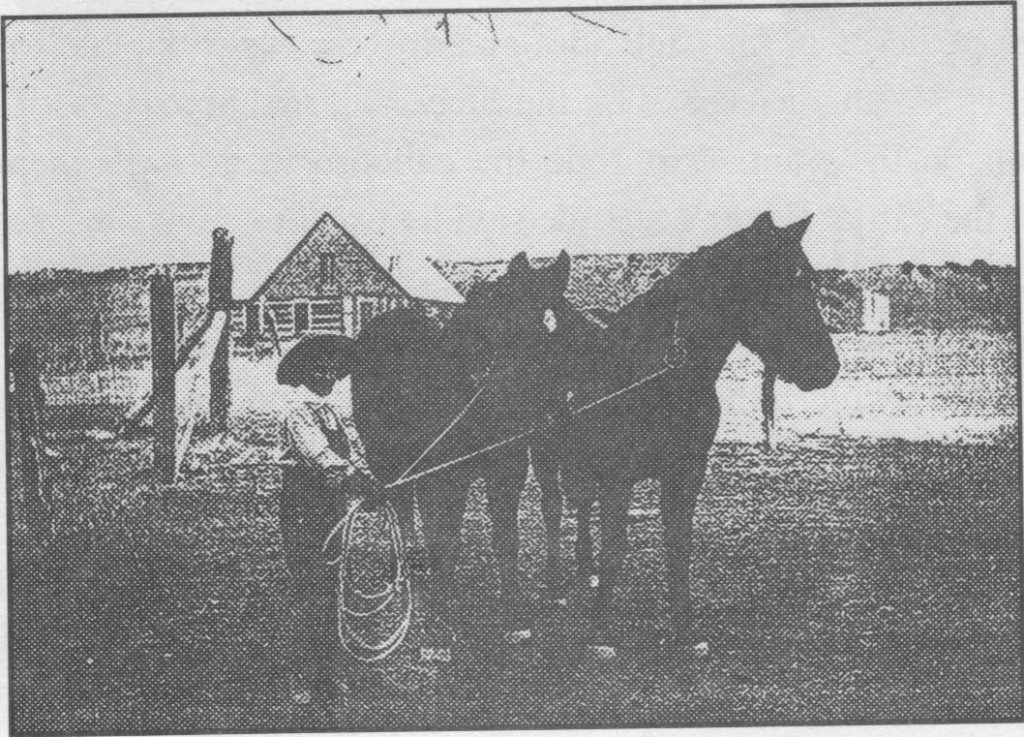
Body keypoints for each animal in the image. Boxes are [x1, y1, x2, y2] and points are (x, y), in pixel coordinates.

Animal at [350, 250, 577, 646]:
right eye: (513, 327)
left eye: (554, 326)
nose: (554, 412)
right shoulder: (444, 474)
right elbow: (446, 536)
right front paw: (440, 609)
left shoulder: (506, 468)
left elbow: (505, 538)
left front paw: (513, 614)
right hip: (384, 452)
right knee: (398, 501)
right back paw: (402, 566)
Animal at [528, 209, 839, 655]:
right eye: (776, 281)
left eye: (808, 278)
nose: (826, 368)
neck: (660, 370)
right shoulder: (619, 477)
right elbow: (615, 548)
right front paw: (601, 630)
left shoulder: (687, 470)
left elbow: (679, 544)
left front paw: (684, 629)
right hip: (543, 453)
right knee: (553, 508)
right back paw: (556, 585)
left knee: (582, 504)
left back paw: (584, 570)